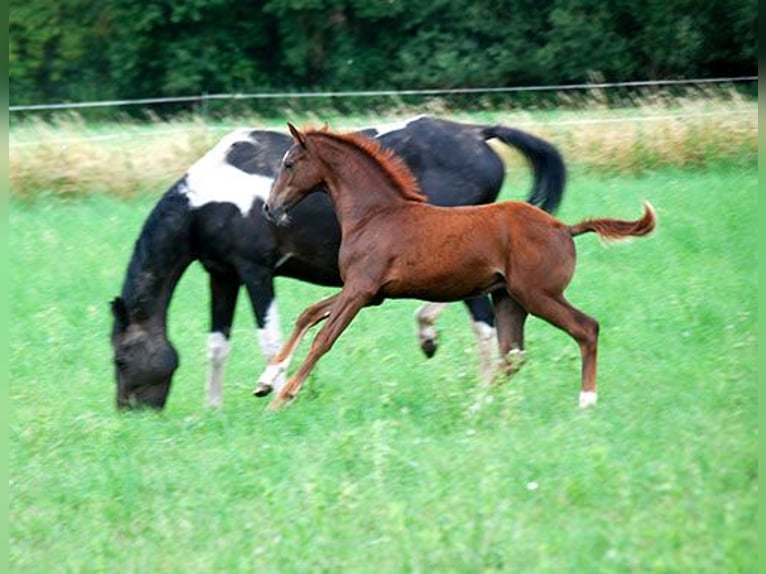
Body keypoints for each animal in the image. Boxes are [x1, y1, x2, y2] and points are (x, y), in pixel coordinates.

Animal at [110, 116, 567, 409]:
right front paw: (214, 408)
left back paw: (473, 383)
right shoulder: (222, 275)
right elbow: (218, 345)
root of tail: (478, 133)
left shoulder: (256, 272)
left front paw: (276, 387)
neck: (208, 200)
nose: (130, 410)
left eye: (120, 359)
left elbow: (270, 339)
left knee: (484, 325)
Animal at [261, 124, 656, 409]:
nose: (269, 208)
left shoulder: (361, 289)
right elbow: (309, 314)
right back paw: (478, 406)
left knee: (586, 329)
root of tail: (565, 228)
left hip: (538, 294)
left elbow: (324, 339)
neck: (375, 214)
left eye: (289, 164)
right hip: (509, 299)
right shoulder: (369, 293)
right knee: (512, 355)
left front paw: (282, 398)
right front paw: (265, 380)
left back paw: (586, 401)